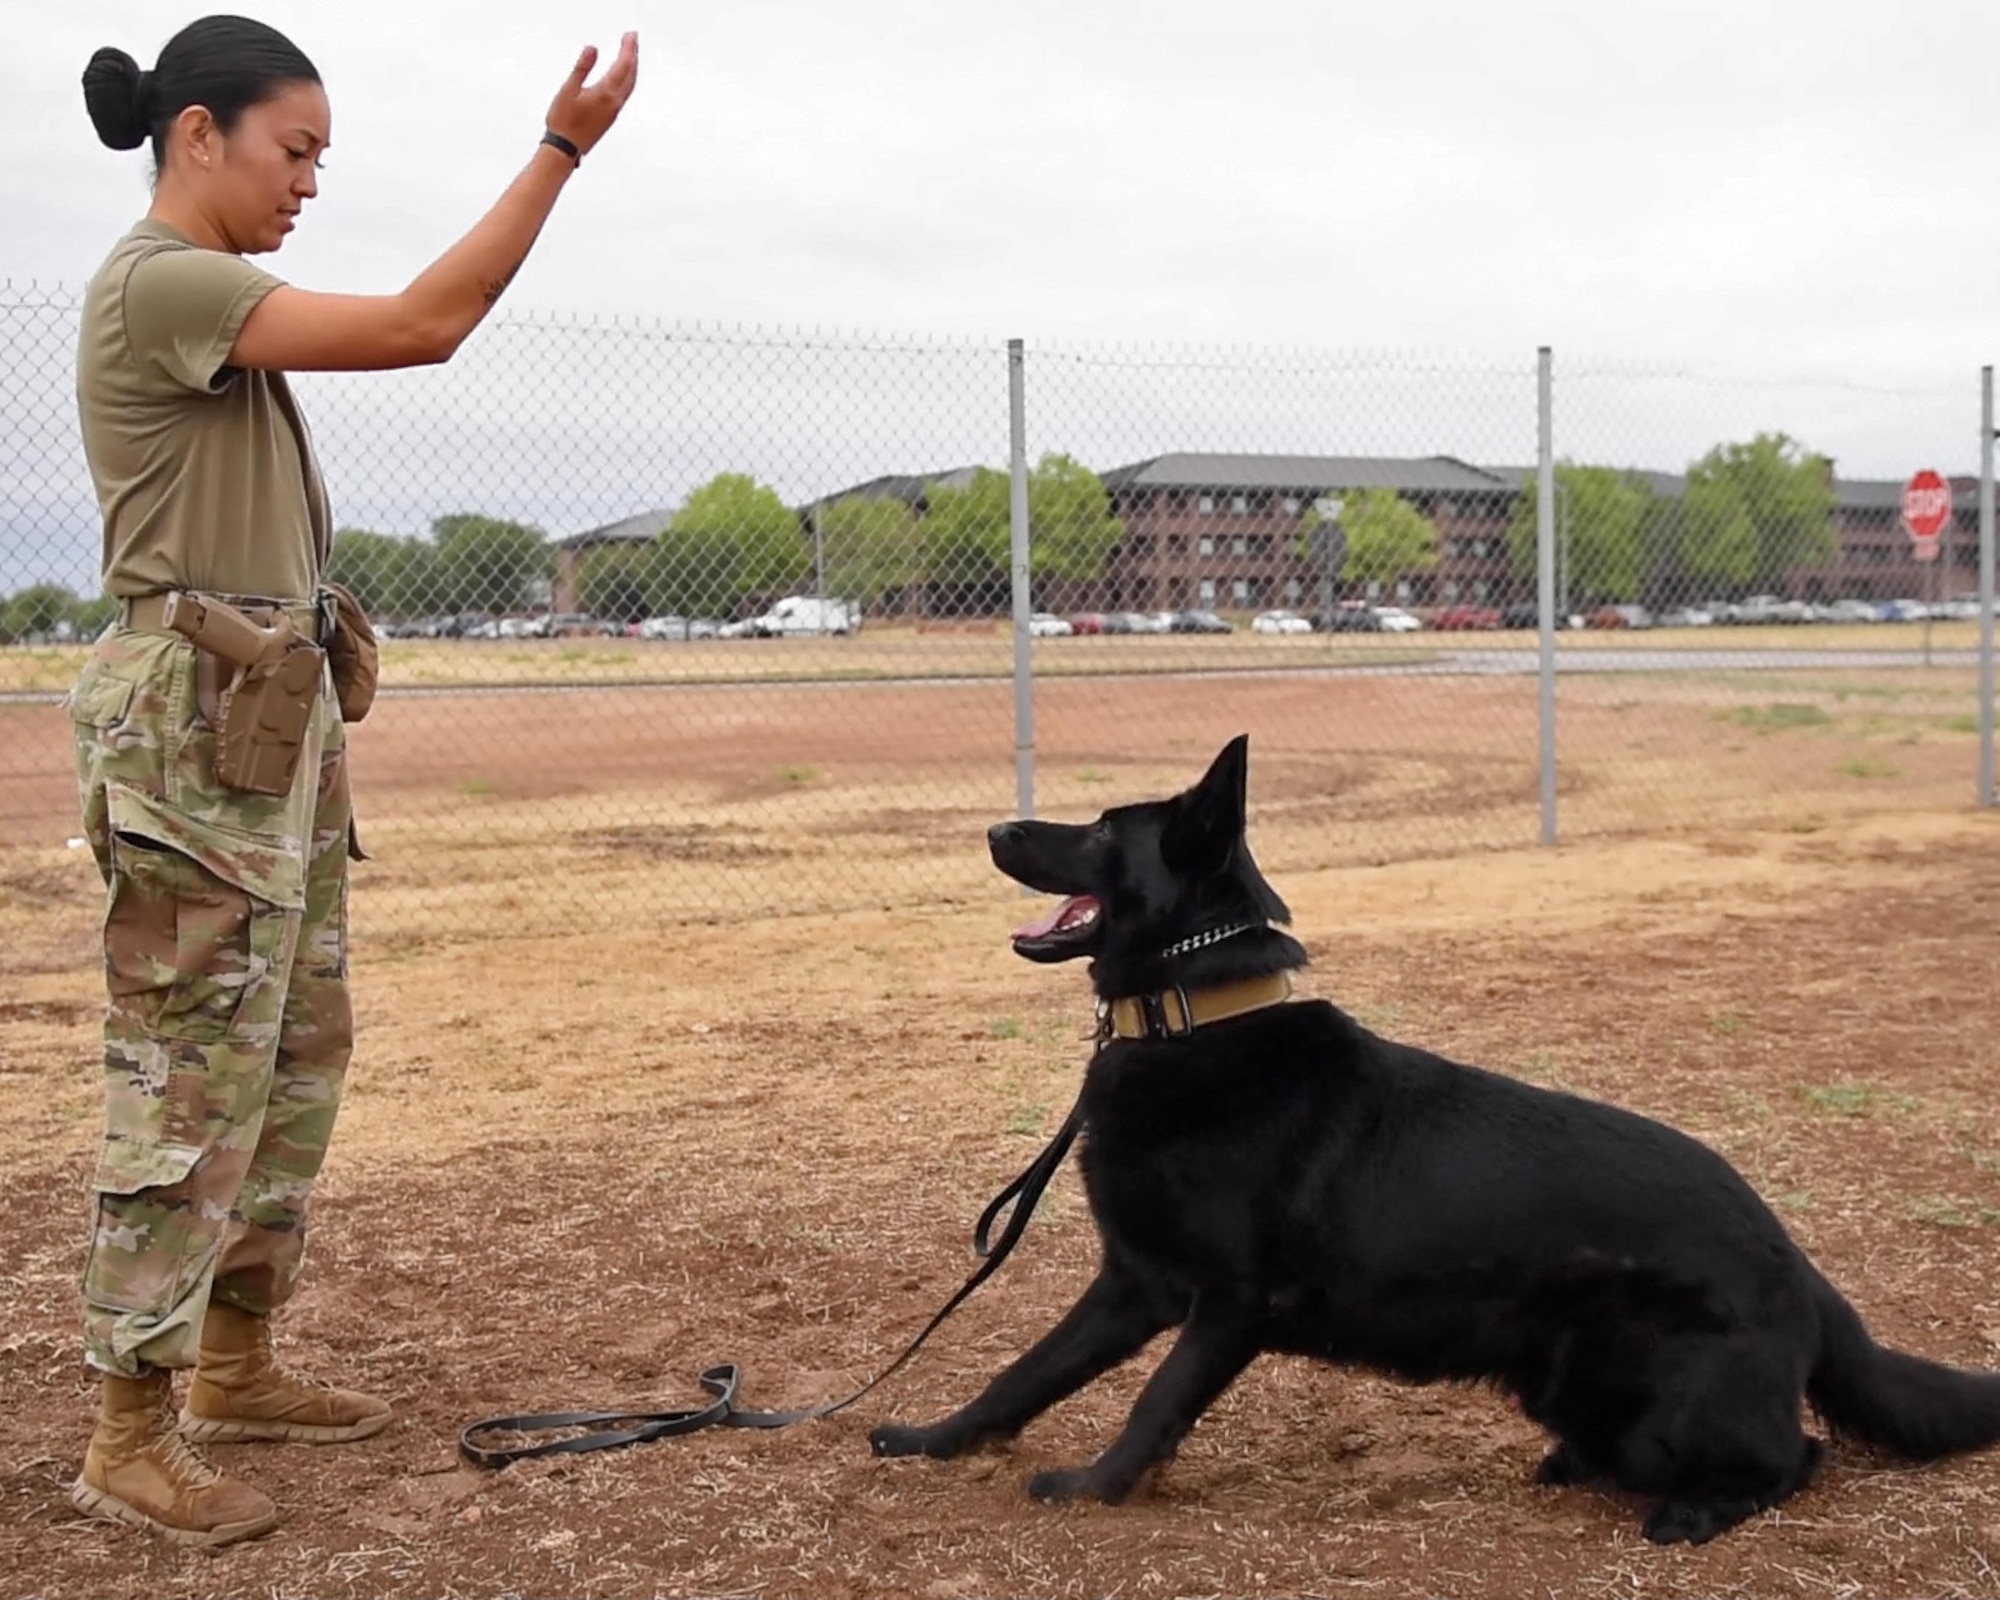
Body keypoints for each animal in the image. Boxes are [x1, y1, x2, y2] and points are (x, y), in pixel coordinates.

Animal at [872, 736, 2000, 1552]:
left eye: (1106, 832)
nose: (993, 825)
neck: (1197, 1019)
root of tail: (1800, 1267)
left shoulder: (1227, 1305)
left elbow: (1152, 1404)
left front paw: (1094, 1489)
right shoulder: (1131, 1286)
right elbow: (1024, 1373)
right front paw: (933, 1441)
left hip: (1666, 1405)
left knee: (1797, 1457)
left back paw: (1691, 1510)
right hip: (1563, 1378)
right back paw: (1575, 1466)